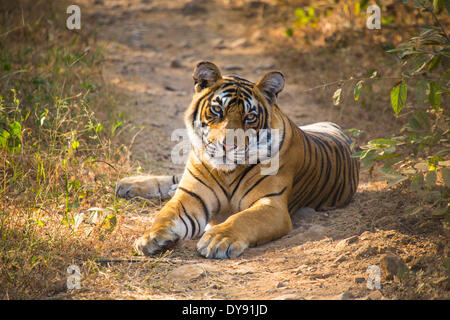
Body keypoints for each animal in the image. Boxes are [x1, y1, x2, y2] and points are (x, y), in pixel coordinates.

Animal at [115, 61, 358, 258]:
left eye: (249, 117)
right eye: (217, 110)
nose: (228, 146)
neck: (227, 173)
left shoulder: (272, 204)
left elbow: (243, 218)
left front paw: (218, 239)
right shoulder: (191, 196)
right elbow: (165, 215)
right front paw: (150, 237)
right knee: (173, 179)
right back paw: (127, 184)